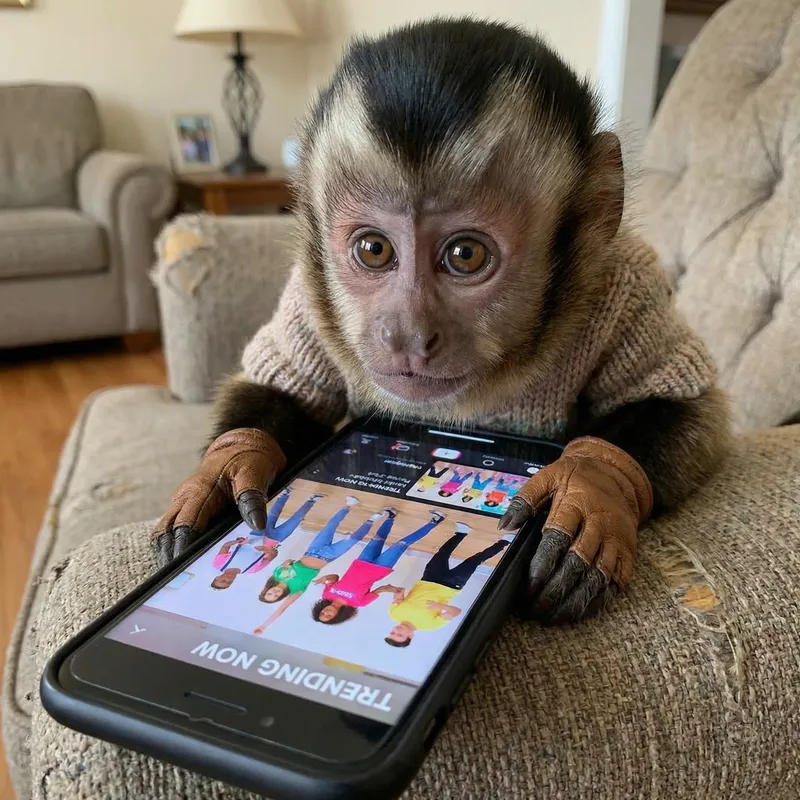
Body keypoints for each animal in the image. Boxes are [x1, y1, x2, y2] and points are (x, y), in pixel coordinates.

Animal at [153, 18, 730, 625]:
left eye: (465, 256)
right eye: (375, 249)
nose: (406, 332)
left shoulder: (628, 282)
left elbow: (687, 405)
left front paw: (594, 484)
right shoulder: (306, 298)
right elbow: (284, 389)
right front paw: (229, 465)